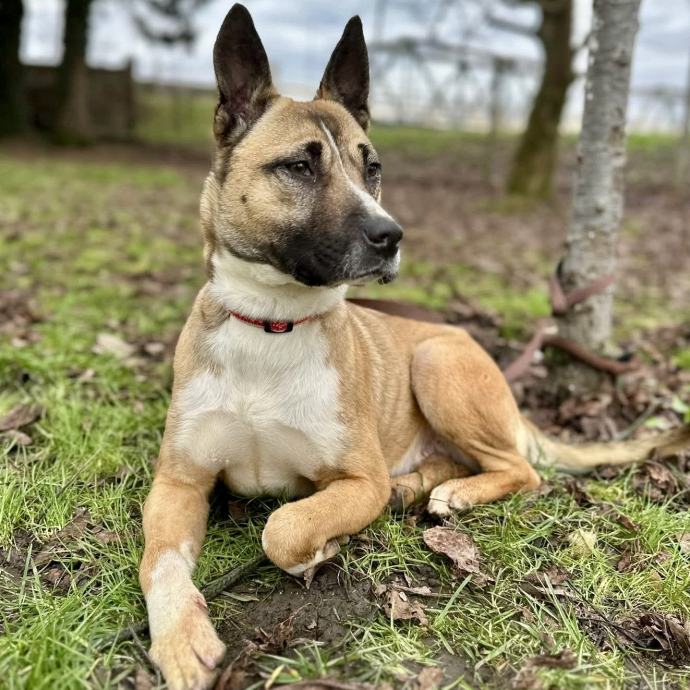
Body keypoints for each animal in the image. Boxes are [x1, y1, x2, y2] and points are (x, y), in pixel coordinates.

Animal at [138, 6, 690, 689]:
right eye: (299, 166)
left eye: (371, 167)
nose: (390, 236)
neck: (271, 325)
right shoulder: (178, 483)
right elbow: (159, 563)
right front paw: (181, 640)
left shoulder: (358, 480)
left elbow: (282, 528)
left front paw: (321, 545)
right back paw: (422, 487)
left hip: (436, 363)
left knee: (522, 469)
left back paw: (450, 492)